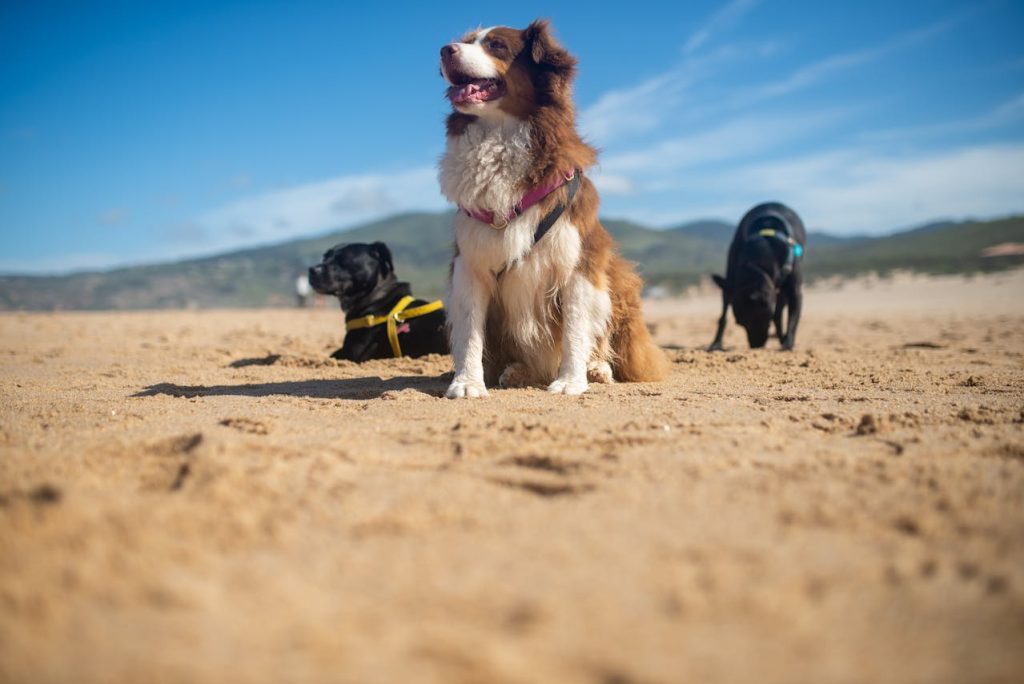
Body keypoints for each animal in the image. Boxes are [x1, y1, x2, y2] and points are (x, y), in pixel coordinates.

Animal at [305, 241, 446, 362]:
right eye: (324, 257)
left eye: (342, 260)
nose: (311, 270)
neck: (376, 296)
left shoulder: (353, 352)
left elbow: (331, 355)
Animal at [438, 18, 663, 397]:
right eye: (467, 41)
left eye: (496, 45)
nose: (444, 50)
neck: (500, 134)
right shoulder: (469, 263)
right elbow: (469, 331)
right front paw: (467, 383)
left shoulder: (579, 261)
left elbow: (575, 328)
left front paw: (571, 380)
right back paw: (517, 371)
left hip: (616, 279)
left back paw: (596, 368)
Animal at [708, 201, 802, 352]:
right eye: (741, 323)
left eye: (763, 319)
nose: (755, 345)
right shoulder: (729, 285)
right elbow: (723, 317)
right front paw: (716, 343)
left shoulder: (795, 291)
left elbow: (792, 318)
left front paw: (788, 344)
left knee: (780, 315)